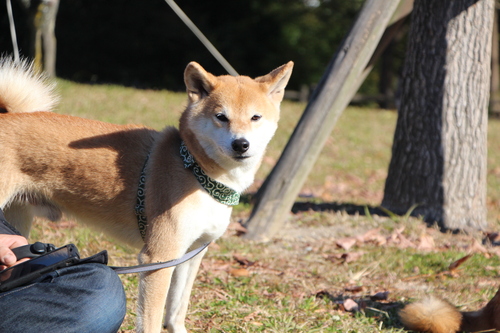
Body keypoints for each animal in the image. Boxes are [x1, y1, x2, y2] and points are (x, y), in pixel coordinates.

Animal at [0, 58, 292, 330]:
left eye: (255, 117)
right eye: (221, 117)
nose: (241, 144)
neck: (196, 170)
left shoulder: (191, 255)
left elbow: (176, 311)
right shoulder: (159, 258)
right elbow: (151, 321)